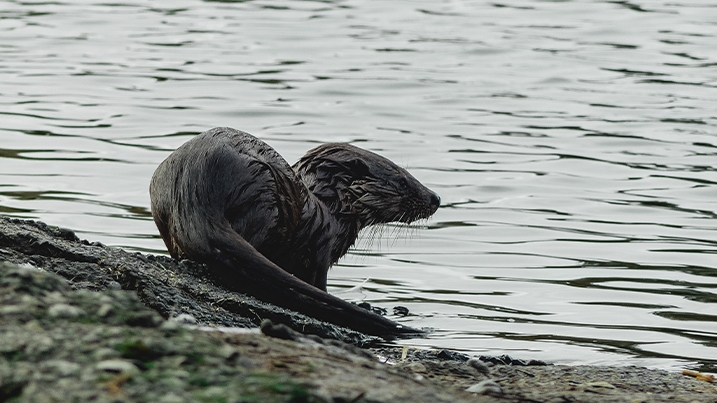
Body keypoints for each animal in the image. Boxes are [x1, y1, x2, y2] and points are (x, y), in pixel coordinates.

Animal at [150, 127, 440, 338]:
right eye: (403, 181)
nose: (436, 198)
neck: (331, 208)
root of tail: (194, 198)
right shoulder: (322, 247)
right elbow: (319, 282)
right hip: (265, 196)